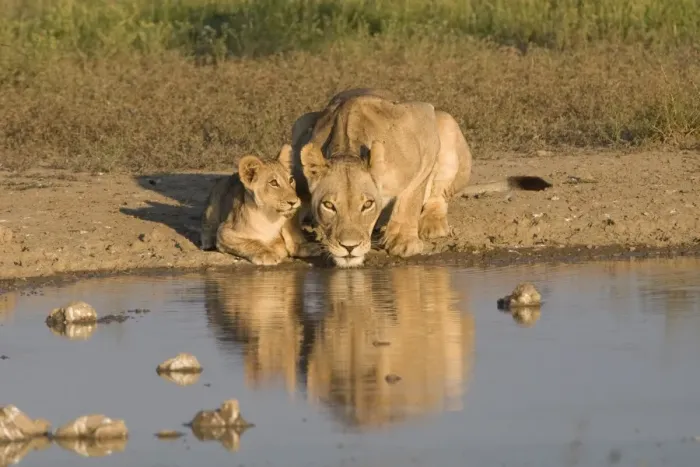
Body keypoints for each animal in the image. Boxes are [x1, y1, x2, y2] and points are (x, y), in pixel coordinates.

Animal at [291, 88, 552, 267]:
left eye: (367, 204)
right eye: (328, 205)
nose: (349, 247)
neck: (347, 147)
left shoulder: (423, 120)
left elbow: (411, 196)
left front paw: (403, 241)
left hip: (446, 121)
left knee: (439, 195)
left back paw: (431, 224)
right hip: (301, 120)